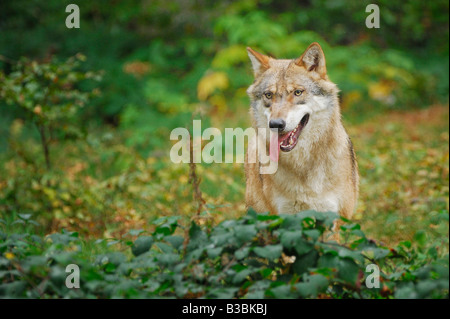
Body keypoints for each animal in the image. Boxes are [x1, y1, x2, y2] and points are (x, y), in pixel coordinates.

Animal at [244, 42, 360, 225]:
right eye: (268, 95)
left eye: (297, 92)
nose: (276, 124)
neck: (302, 165)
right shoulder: (283, 218)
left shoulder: (336, 218)